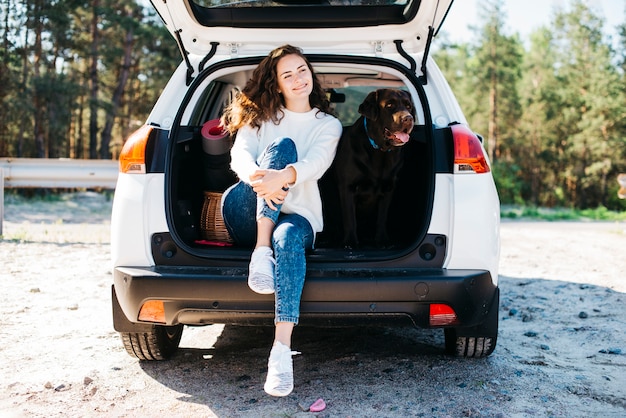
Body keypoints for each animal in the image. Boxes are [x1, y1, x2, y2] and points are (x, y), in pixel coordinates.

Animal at [332, 87, 414, 248]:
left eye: (408, 106)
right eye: (389, 105)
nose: (408, 118)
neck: (379, 151)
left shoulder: (389, 188)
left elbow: (382, 217)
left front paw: (382, 240)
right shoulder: (347, 187)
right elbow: (350, 218)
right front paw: (350, 242)